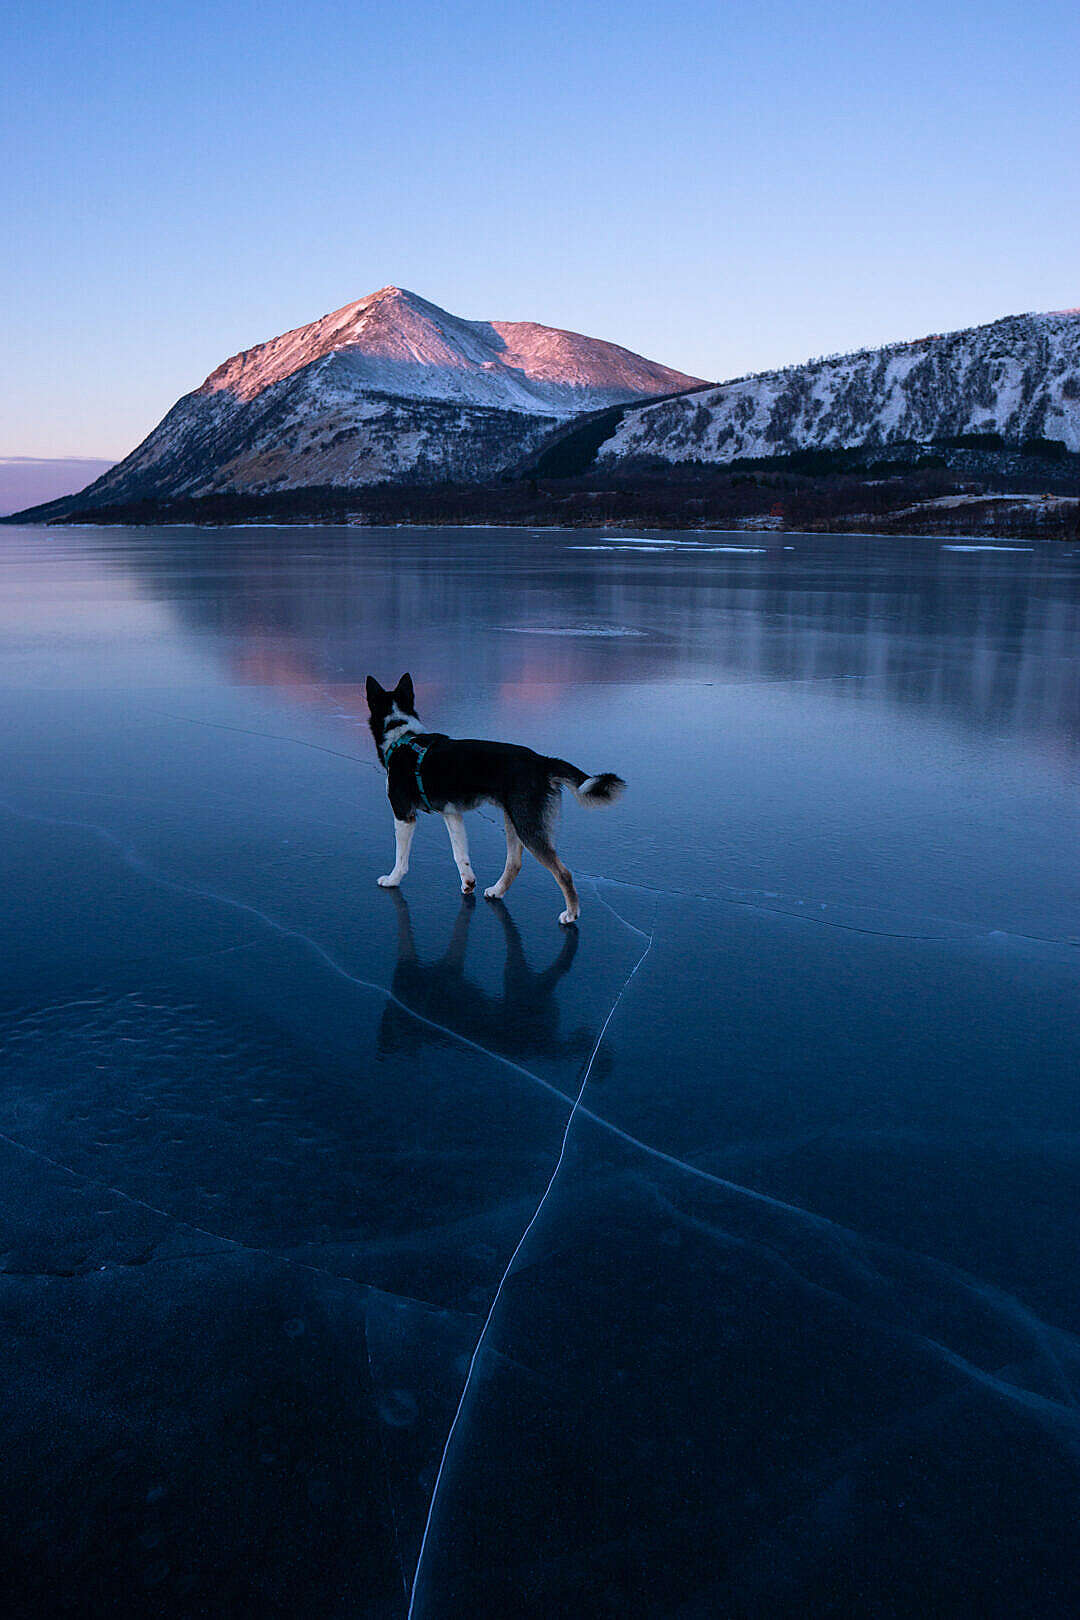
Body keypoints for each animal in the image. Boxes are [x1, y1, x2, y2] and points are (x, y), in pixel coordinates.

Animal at [369, 673, 628, 926]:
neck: (402, 735)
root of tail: (543, 761)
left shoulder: (403, 814)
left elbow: (401, 858)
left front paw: (392, 879)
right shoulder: (452, 814)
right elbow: (460, 855)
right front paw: (468, 883)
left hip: (527, 824)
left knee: (563, 873)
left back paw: (571, 913)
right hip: (513, 819)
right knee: (514, 863)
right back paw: (497, 891)